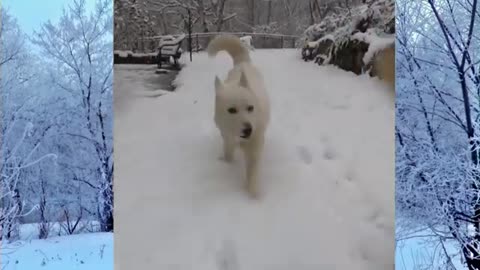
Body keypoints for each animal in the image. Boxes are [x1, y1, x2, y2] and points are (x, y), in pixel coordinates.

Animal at [207, 34, 270, 197]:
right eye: (231, 110)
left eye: (250, 108)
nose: (248, 130)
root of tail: (242, 62)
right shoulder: (227, 138)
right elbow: (228, 155)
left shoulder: (255, 146)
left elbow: (253, 172)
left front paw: (253, 196)